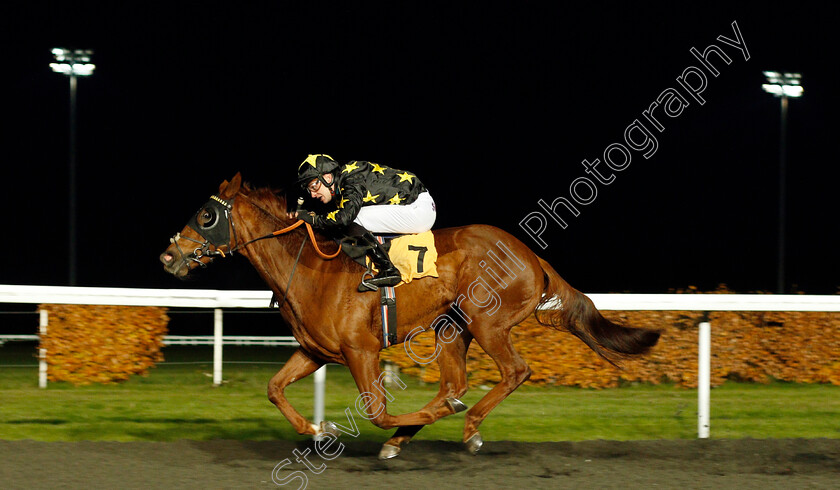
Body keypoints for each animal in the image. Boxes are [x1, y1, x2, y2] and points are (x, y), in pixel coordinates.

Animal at [158, 174, 656, 458]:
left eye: (206, 216)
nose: (168, 257)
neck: (312, 268)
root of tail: (533, 257)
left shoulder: (361, 350)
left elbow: (377, 412)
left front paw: (370, 426)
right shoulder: (316, 351)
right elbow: (274, 389)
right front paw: (319, 429)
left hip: (487, 322)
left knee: (512, 372)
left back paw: (465, 426)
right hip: (451, 328)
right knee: (455, 383)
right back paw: (422, 428)